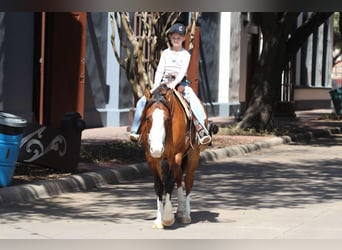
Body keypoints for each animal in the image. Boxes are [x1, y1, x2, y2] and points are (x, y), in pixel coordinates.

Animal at [139, 84, 208, 229]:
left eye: (167, 119)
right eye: (147, 118)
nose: (157, 149)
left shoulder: (176, 155)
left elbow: (169, 182)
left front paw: (167, 217)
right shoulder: (152, 158)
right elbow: (159, 185)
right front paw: (159, 220)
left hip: (193, 155)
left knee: (187, 180)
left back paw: (186, 214)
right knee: (179, 179)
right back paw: (180, 211)